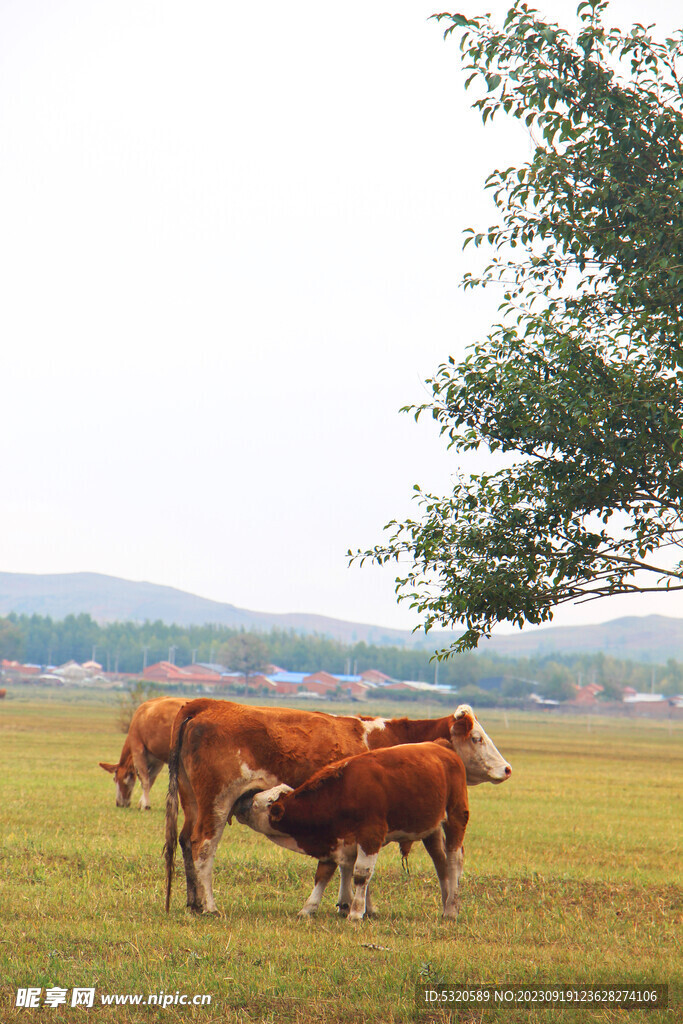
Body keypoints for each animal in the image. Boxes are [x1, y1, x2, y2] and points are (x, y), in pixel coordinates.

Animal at [232, 741, 473, 925]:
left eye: (260, 803)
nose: (240, 801)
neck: (343, 792)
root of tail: (441, 746)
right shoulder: (335, 840)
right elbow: (323, 874)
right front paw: (309, 908)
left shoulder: (371, 836)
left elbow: (360, 875)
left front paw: (356, 912)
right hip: (430, 829)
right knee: (440, 863)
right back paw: (446, 904)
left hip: (456, 816)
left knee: (453, 860)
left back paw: (452, 908)